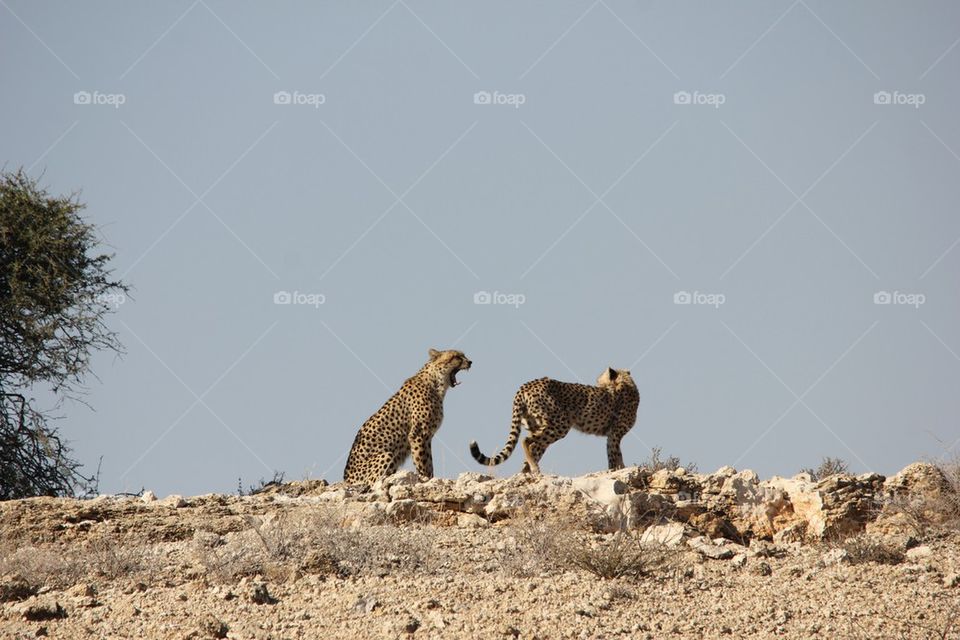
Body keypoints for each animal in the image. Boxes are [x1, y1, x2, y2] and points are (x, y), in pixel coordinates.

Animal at [343, 348, 471, 486]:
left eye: (463, 355)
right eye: (456, 357)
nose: (470, 362)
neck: (436, 382)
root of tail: (346, 480)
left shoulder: (427, 436)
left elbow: (428, 461)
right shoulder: (419, 434)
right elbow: (423, 461)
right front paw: (426, 479)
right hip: (387, 455)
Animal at [470, 368, 639, 474]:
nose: (598, 385)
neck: (626, 383)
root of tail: (525, 385)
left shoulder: (613, 435)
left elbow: (617, 454)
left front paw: (621, 468)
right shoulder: (614, 434)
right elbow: (614, 454)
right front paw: (614, 472)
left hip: (538, 425)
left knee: (534, 447)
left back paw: (528, 472)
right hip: (560, 424)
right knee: (527, 441)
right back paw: (534, 468)